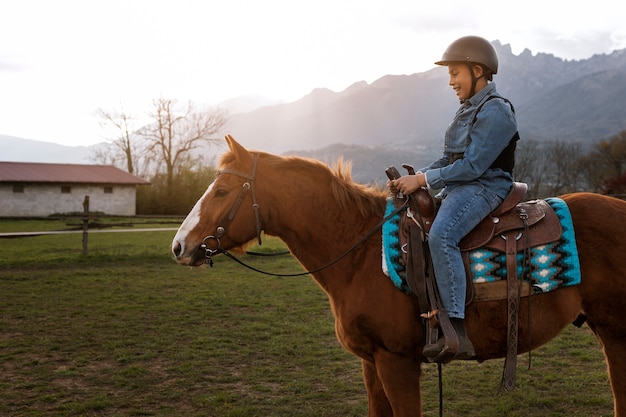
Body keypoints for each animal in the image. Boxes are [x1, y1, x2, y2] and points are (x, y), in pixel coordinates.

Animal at [169, 135, 624, 414]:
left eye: (221, 191)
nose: (179, 246)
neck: (361, 253)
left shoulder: (397, 363)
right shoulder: (372, 364)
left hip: (616, 334)